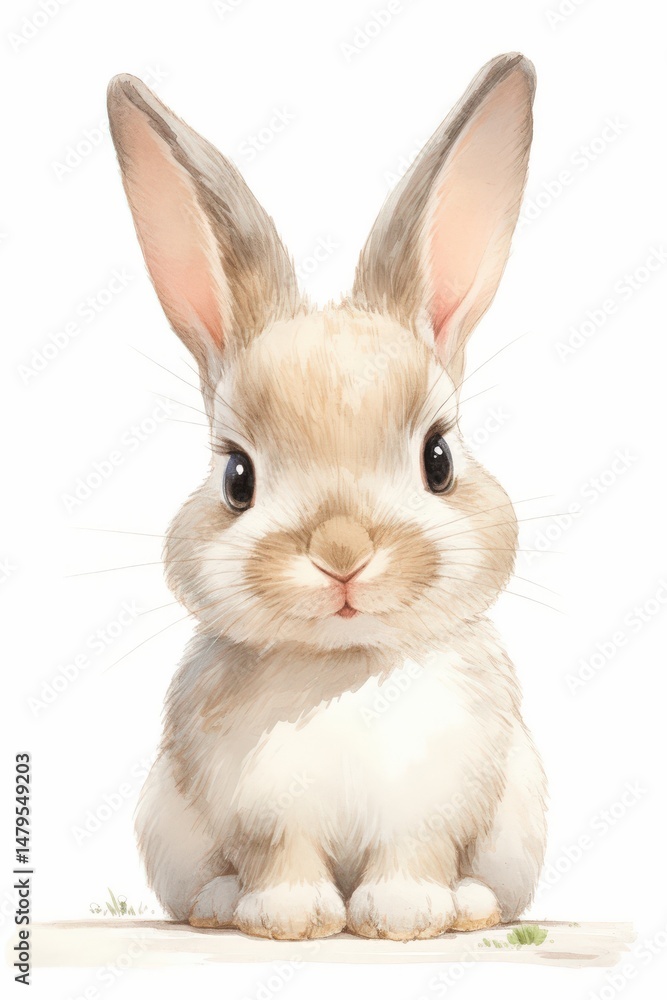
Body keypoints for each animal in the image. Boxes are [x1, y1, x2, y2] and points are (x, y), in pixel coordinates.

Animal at [107, 51, 547, 942]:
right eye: (236, 477)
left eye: (438, 459)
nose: (341, 552)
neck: (346, 667)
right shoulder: (265, 815)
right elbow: (283, 859)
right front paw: (291, 919)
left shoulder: (429, 811)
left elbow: (413, 856)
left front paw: (403, 917)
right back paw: (218, 907)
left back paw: (468, 907)